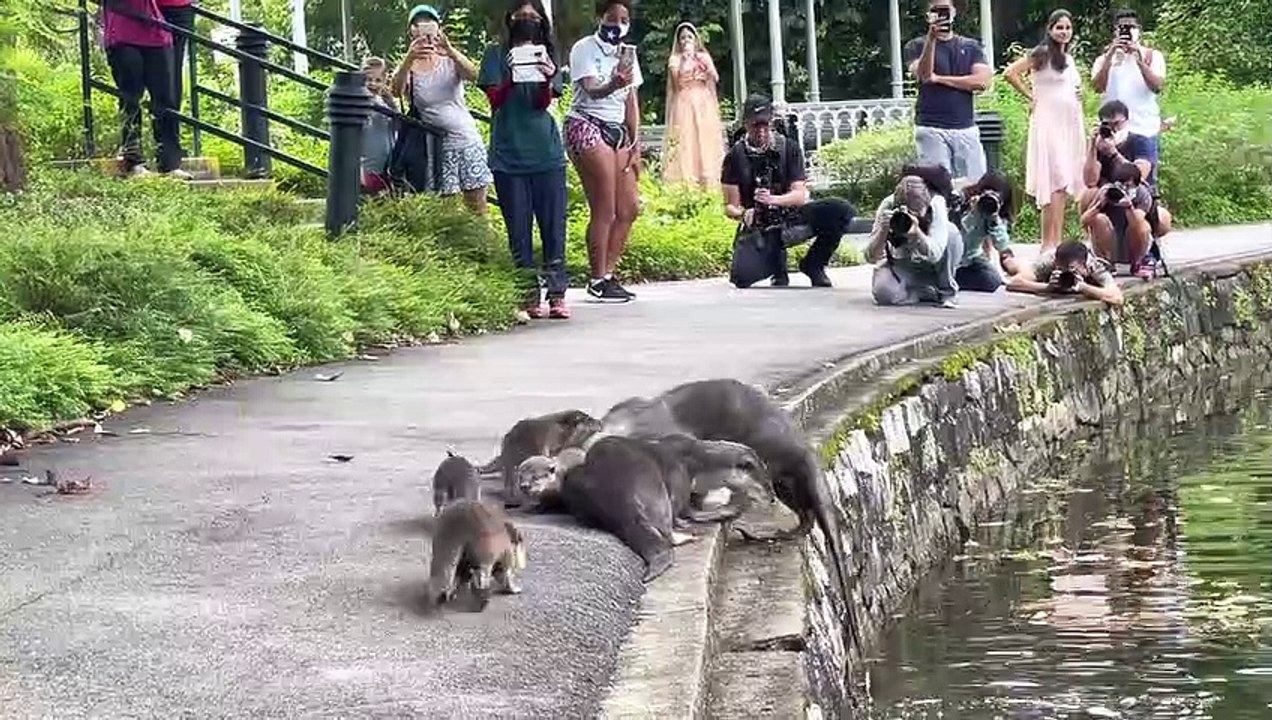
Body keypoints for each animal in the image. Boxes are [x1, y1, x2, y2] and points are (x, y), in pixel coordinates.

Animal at [559, 434, 773, 583]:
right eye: (768, 485)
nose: (772, 499)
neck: (697, 464)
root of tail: (620, 493)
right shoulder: (680, 479)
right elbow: (688, 513)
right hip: (657, 487)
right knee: (672, 527)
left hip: (576, 483)